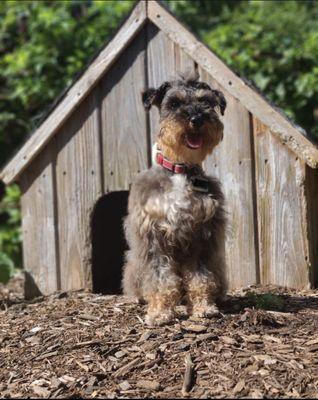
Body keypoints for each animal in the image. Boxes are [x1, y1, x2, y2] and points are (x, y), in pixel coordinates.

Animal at [122, 73, 229, 326]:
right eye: (174, 103)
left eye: (206, 102)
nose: (197, 118)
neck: (180, 171)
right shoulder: (153, 237)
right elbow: (160, 279)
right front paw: (160, 313)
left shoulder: (202, 236)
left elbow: (201, 277)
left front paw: (204, 307)